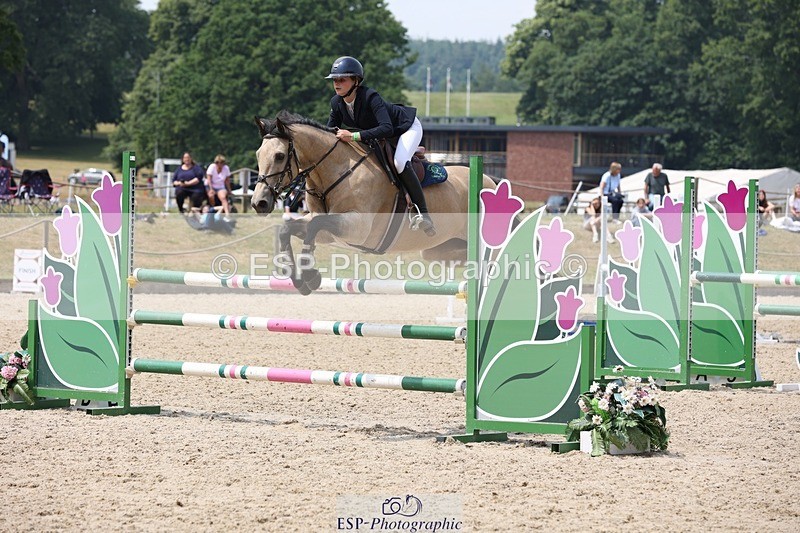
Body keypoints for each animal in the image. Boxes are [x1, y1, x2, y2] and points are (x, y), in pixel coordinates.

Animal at [252, 111, 497, 294]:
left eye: (280, 156)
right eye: (258, 154)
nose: (259, 203)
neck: (339, 169)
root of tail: (490, 181)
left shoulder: (358, 227)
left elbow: (313, 226)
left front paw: (310, 275)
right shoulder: (329, 230)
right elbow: (289, 230)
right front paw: (302, 281)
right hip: (437, 249)